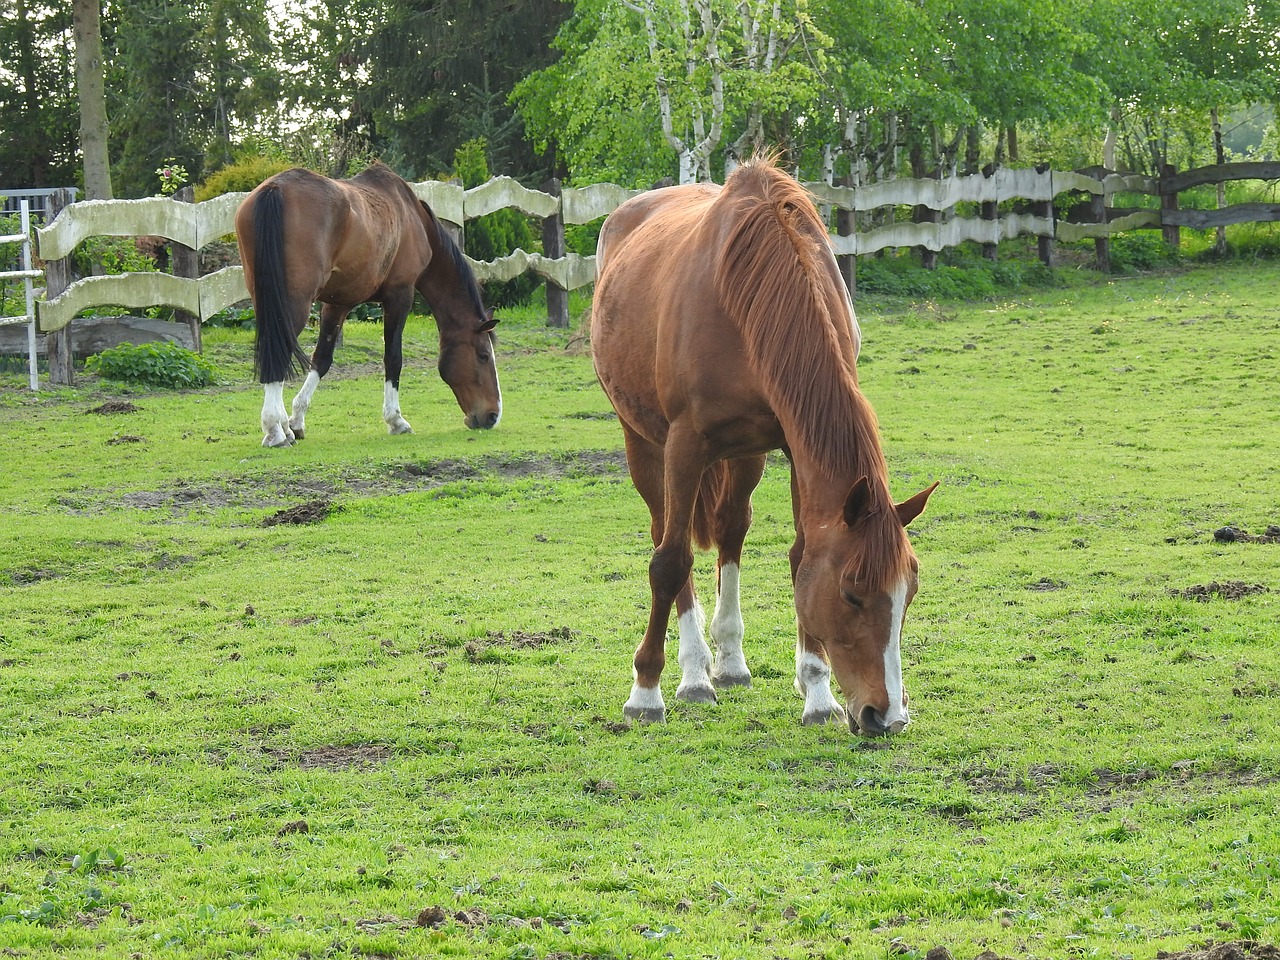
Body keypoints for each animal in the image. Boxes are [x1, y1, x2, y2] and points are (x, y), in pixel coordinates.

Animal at [235, 163, 499, 450]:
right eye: (483, 355)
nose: (493, 415)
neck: (414, 218)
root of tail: (275, 189)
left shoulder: (338, 303)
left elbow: (322, 359)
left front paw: (296, 422)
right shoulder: (399, 296)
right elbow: (393, 358)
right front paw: (396, 421)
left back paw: (282, 427)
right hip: (294, 303)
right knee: (278, 354)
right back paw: (274, 431)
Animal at [591, 161, 942, 742]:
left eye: (907, 595)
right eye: (852, 593)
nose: (886, 716)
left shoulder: (795, 446)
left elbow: (800, 556)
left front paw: (818, 691)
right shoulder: (685, 444)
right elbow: (669, 561)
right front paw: (646, 691)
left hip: (746, 454)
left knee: (731, 528)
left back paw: (730, 664)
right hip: (643, 439)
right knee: (668, 535)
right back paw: (694, 674)